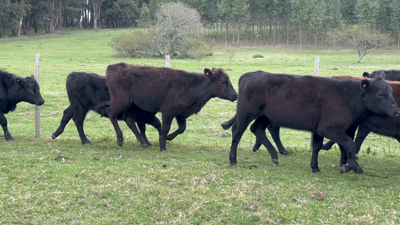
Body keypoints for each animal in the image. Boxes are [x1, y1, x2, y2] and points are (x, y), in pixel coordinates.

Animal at [105, 62, 238, 152]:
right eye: (223, 82)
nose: (235, 95)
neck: (190, 87)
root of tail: (115, 66)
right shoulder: (168, 112)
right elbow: (165, 128)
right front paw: (163, 147)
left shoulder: (181, 114)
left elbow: (182, 129)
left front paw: (168, 138)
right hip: (121, 101)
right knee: (111, 113)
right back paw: (120, 139)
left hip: (133, 106)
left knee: (129, 120)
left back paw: (143, 142)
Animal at [227, 70, 398, 174]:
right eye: (380, 94)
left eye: (391, 92)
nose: (397, 111)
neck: (348, 97)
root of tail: (252, 74)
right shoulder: (328, 128)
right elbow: (350, 145)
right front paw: (352, 167)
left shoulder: (329, 129)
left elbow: (320, 146)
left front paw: (316, 167)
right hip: (246, 113)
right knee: (237, 131)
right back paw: (233, 159)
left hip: (265, 116)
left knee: (257, 129)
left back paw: (275, 156)